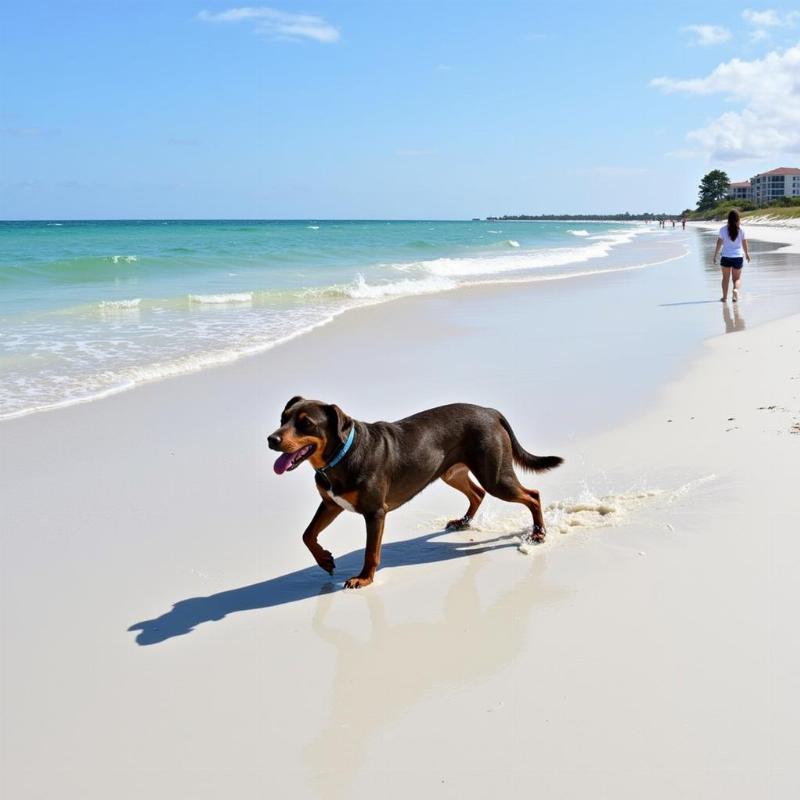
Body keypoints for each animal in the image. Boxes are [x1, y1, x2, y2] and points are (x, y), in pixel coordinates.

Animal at [268, 398, 564, 588]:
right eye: (282, 418)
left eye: (306, 423)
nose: (271, 439)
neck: (339, 456)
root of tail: (491, 412)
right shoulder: (331, 503)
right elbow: (307, 534)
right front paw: (325, 561)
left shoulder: (375, 512)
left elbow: (370, 551)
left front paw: (364, 578)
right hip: (450, 471)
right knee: (478, 493)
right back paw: (463, 522)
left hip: (496, 476)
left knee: (532, 494)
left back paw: (538, 533)